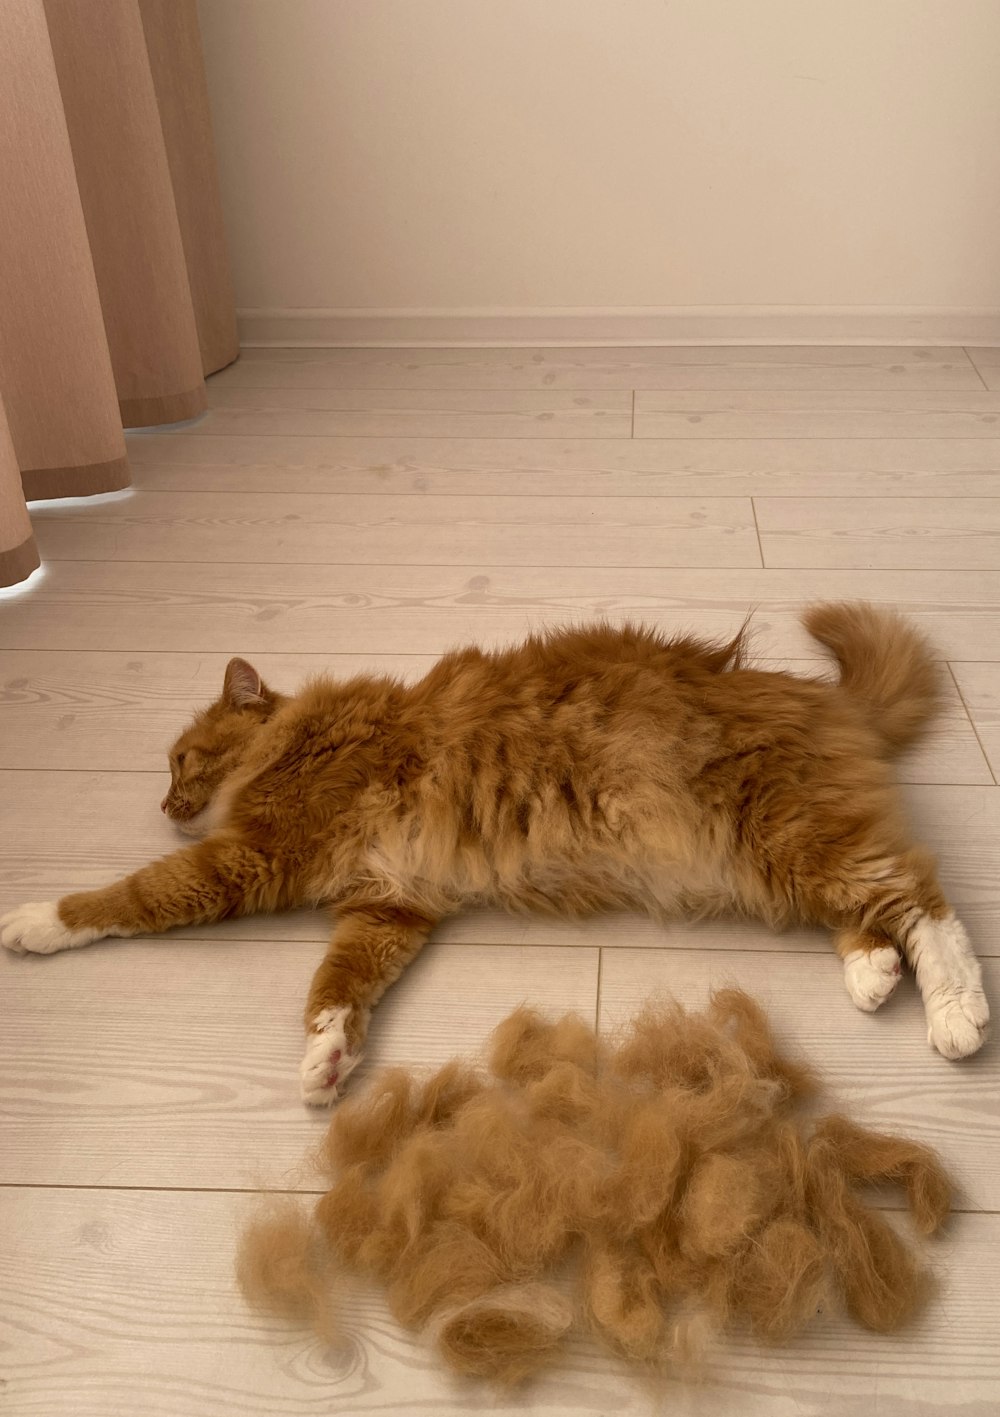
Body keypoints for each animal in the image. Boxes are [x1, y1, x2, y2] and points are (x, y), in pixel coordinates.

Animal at [0, 603, 985, 1099]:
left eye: (178, 760)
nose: (164, 802)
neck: (296, 738)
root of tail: (824, 697)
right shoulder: (389, 905)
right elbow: (337, 989)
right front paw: (328, 1059)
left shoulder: (249, 857)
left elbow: (126, 897)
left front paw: (33, 919)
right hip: (783, 859)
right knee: (870, 910)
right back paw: (871, 974)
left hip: (783, 838)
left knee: (925, 902)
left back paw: (956, 1015)